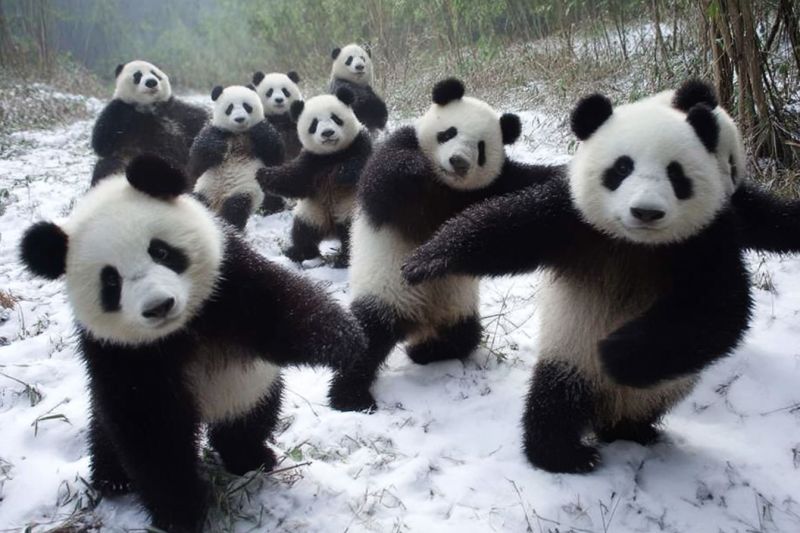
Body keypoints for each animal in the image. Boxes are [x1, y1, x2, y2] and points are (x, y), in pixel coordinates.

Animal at [19, 155, 365, 532]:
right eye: (111, 281)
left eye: (160, 251)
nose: (158, 306)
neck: (184, 328)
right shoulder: (117, 349)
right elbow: (150, 427)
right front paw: (181, 511)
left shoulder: (230, 276)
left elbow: (283, 309)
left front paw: (346, 343)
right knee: (108, 433)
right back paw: (112, 479)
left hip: (248, 388)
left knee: (252, 418)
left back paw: (251, 457)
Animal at [188, 85, 284, 230]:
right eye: (230, 108)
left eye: (247, 106)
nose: (239, 119)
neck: (237, 134)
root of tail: (217, 203)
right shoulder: (212, 130)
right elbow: (196, 163)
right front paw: (216, 145)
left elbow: (275, 158)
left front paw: (260, 131)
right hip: (204, 189)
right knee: (196, 201)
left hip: (242, 190)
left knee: (235, 208)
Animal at [256, 87, 372, 268]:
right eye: (314, 124)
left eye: (335, 118)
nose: (327, 133)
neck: (332, 155)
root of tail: (331, 230)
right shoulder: (311, 160)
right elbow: (295, 181)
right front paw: (263, 175)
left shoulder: (360, 143)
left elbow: (361, 166)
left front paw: (342, 173)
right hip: (312, 213)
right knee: (302, 232)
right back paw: (299, 253)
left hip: (349, 210)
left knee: (350, 235)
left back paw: (344, 259)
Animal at [327, 78, 561, 412]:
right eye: (449, 132)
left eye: (481, 148)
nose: (458, 161)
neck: (446, 187)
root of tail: (417, 323)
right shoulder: (400, 153)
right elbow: (383, 180)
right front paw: (415, 168)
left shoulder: (495, 185)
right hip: (385, 291)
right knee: (366, 338)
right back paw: (349, 396)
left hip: (457, 306)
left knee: (463, 336)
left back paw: (425, 353)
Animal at [399, 93, 758, 473]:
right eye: (621, 168)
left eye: (676, 174)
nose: (645, 212)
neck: (634, 243)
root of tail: (610, 407)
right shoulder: (571, 217)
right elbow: (505, 234)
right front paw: (428, 260)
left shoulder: (706, 241)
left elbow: (717, 311)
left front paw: (618, 353)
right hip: (570, 351)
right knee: (555, 401)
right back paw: (564, 454)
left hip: (660, 388)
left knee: (643, 404)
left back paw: (631, 432)